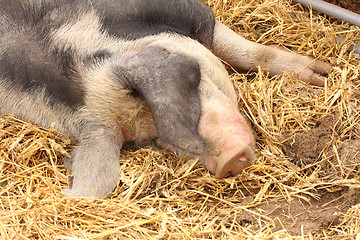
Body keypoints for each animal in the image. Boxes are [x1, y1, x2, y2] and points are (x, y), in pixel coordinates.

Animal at [0, 0, 332, 197]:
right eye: (152, 141)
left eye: (191, 89)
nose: (226, 163)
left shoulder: (194, 16)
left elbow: (245, 52)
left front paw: (323, 75)